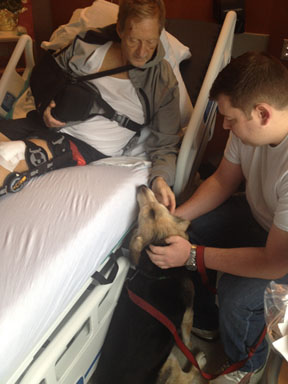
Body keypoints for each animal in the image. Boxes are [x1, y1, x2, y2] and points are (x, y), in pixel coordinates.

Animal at [93, 184, 206, 382]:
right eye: (152, 212)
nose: (142, 186)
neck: (158, 270)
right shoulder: (188, 313)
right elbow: (186, 338)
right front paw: (191, 348)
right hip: (170, 362)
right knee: (185, 376)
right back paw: (199, 361)